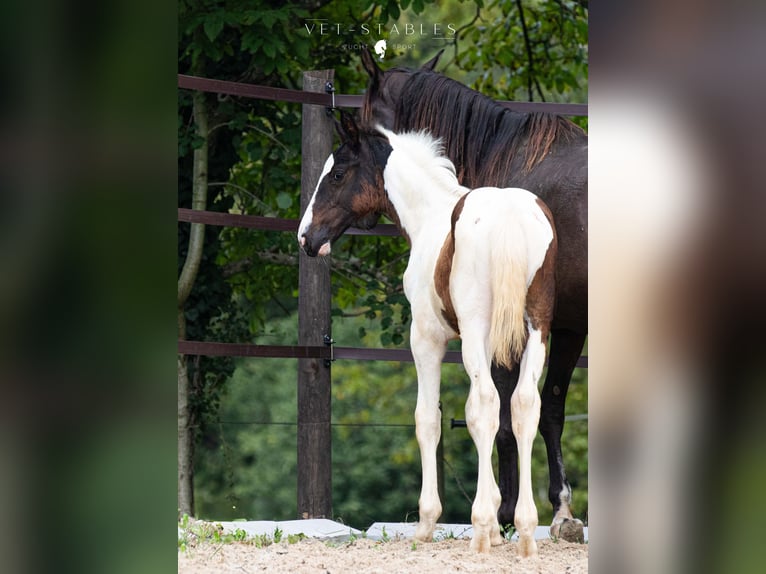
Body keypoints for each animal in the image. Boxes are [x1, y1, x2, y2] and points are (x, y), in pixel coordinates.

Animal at [298, 111, 560, 560]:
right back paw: (525, 530)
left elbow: (429, 418)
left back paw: (480, 530)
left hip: (476, 329)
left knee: (485, 405)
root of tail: (509, 216)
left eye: (337, 174)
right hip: (535, 330)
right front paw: (497, 525)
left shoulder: (426, 340)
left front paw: (429, 522)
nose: (306, 238)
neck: (433, 217)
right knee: (525, 405)